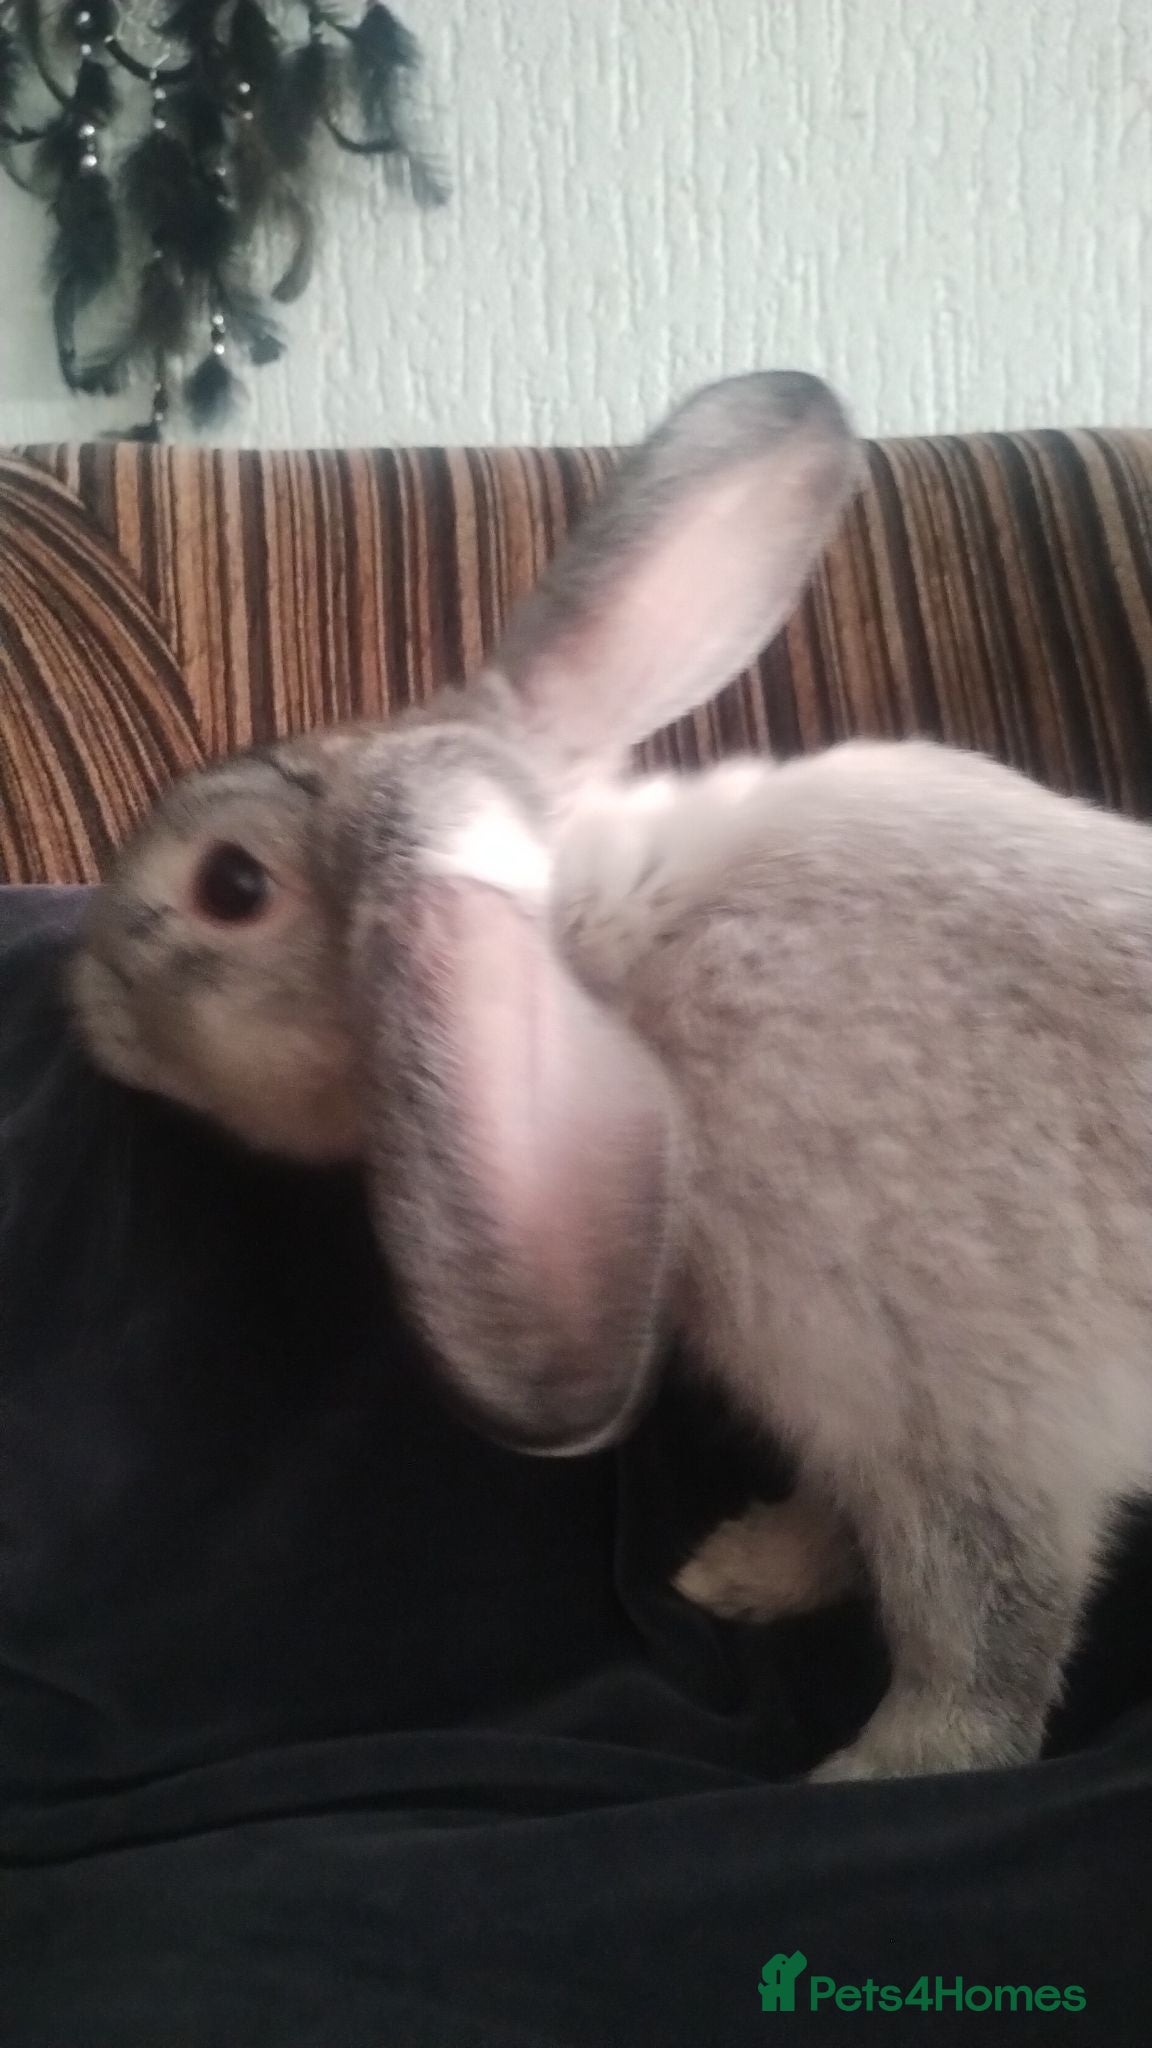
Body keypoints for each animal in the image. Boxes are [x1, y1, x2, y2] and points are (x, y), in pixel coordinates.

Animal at [71, 370, 1152, 1783]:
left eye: (232, 886)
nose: (79, 991)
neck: (609, 958)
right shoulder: (864, 1427)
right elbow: (841, 1519)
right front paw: (745, 1567)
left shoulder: (970, 1428)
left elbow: (977, 1641)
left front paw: (878, 1769)